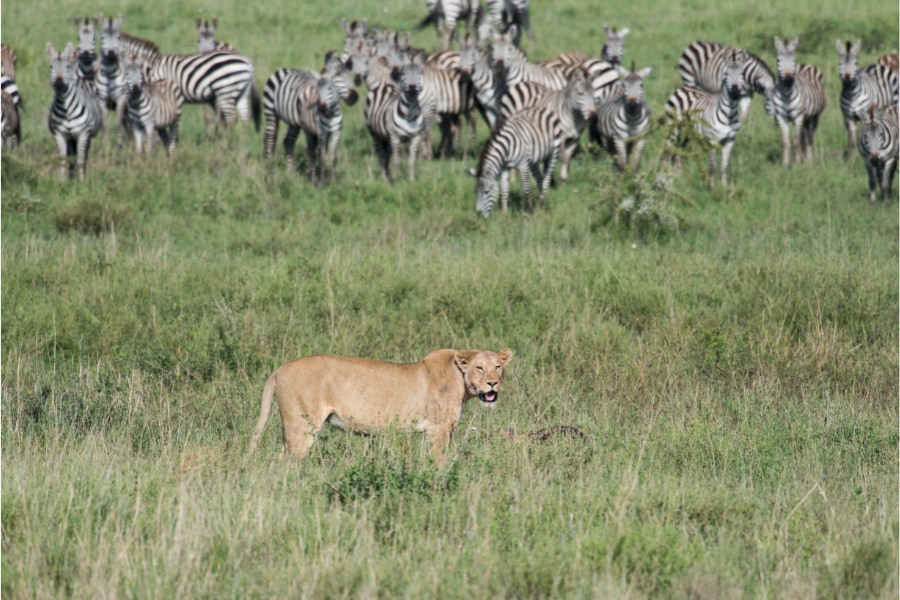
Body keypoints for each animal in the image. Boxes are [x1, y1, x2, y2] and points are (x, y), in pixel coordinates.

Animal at [46, 42, 103, 179]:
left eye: (67, 67)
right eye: (51, 67)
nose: (59, 84)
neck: (66, 110)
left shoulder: (84, 133)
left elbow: (81, 161)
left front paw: (82, 182)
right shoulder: (60, 134)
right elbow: (63, 161)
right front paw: (63, 181)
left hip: (86, 136)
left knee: (83, 157)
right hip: (71, 138)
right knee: (71, 156)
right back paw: (71, 177)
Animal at [364, 54, 428, 185]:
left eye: (419, 72)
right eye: (404, 73)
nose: (412, 87)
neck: (409, 113)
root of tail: (385, 85)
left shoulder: (416, 137)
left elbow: (412, 160)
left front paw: (412, 181)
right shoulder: (395, 137)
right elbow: (396, 161)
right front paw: (396, 181)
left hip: (386, 137)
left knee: (386, 155)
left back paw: (387, 175)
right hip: (375, 134)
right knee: (382, 155)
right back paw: (384, 177)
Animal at [664, 48, 748, 188]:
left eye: (742, 74)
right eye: (726, 74)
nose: (735, 93)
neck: (729, 115)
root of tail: (683, 88)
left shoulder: (730, 140)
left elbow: (725, 167)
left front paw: (725, 188)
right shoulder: (712, 140)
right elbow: (712, 167)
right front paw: (712, 189)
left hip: (687, 133)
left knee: (679, 151)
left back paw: (681, 180)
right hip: (672, 128)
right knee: (667, 152)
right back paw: (666, 179)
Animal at [768, 37, 828, 166]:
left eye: (793, 60)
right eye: (778, 60)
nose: (788, 81)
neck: (786, 95)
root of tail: (806, 64)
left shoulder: (798, 116)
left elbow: (795, 141)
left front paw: (796, 164)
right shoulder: (781, 117)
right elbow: (785, 142)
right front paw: (785, 164)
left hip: (813, 116)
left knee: (809, 137)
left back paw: (808, 161)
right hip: (805, 118)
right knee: (803, 136)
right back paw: (803, 159)